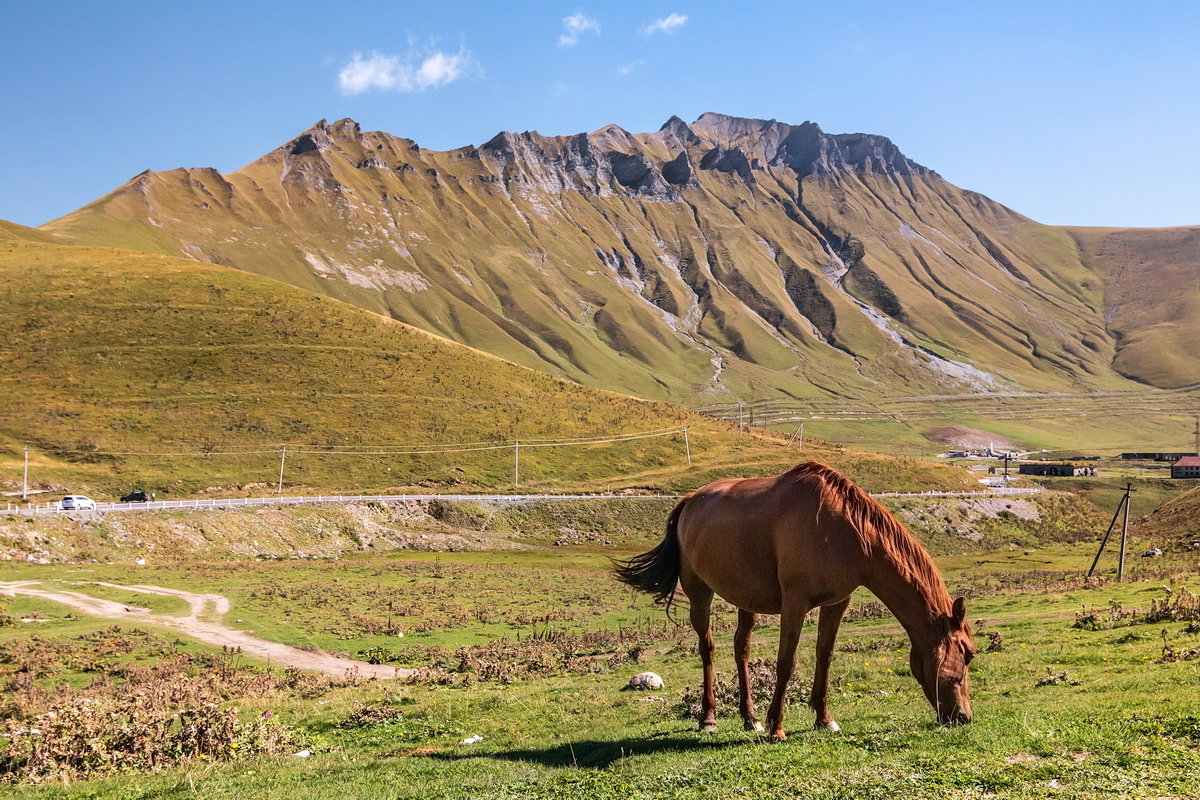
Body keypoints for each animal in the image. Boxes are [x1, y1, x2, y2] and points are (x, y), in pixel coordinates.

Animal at [619, 460, 974, 743]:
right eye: (969, 654)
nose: (964, 717)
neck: (843, 529)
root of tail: (689, 501)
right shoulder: (795, 602)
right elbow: (786, 662)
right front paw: (777, 728)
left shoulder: (837, 602)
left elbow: (824, 656)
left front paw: (824, 719)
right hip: (699, 593)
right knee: (707, 648)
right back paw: (709, 719)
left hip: (746, 599)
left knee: (741, 648)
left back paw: (750, 718)